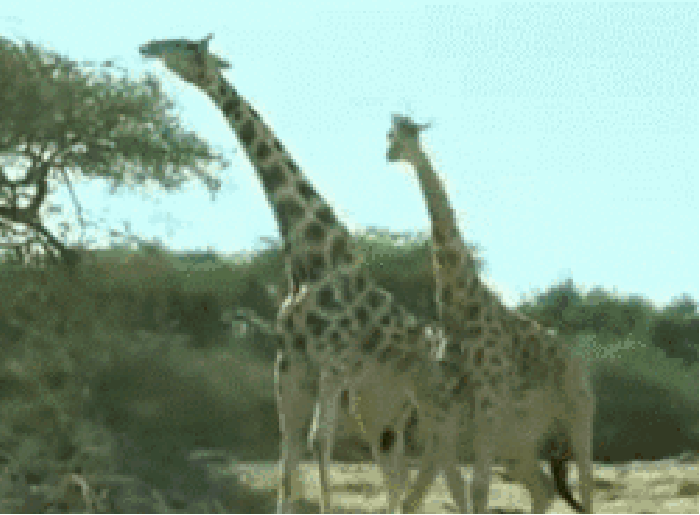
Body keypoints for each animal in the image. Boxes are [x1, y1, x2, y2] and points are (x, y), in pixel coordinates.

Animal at [138, 35, 452, 514]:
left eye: (188, 47)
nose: (148, 46)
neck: (309, 259)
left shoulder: (333, 361)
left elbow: (319, 441)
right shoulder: (290, 362)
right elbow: (288, 448)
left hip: (402, 396)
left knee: (404, 459)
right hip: (378, 396)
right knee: (390, 459)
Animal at [386, 114, 595, 513]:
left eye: (409, 133)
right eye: (389, 134)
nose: (390, 153)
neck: (459, 307)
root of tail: (576, 358)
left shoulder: (486, 402)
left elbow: (477, 488)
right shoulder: (450, 409)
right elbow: (435, 491)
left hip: (577, 412)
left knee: (586, 483)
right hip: (518, 439)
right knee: (542, 488)